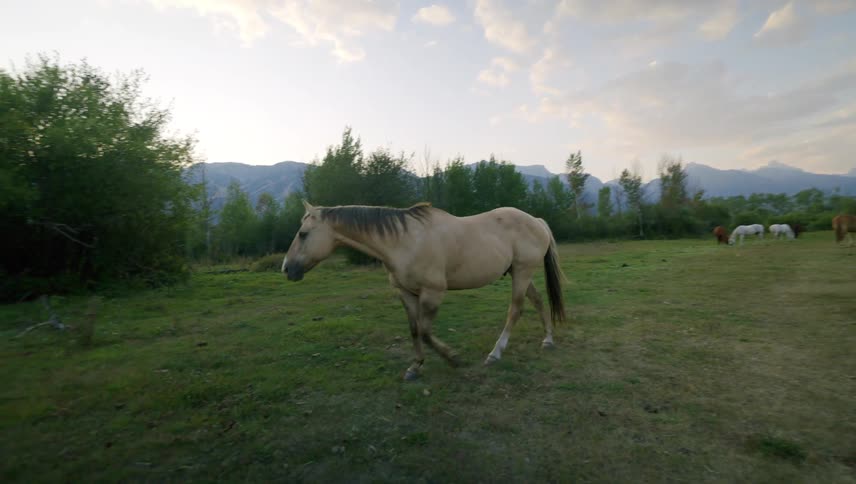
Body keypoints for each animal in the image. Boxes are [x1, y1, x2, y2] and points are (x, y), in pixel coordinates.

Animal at [282, 201, 567, 381]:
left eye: (303, 233)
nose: (286, 268)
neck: (403, 241)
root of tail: (536, 221)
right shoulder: (406, 294)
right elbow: (414, 330)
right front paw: (415, 366)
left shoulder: (433, 293)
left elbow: (427, 333)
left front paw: (452, 358)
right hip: (520, 274)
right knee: (538, 302)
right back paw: (548, 340)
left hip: (522, 272)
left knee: (514, 310)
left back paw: (495, 353)